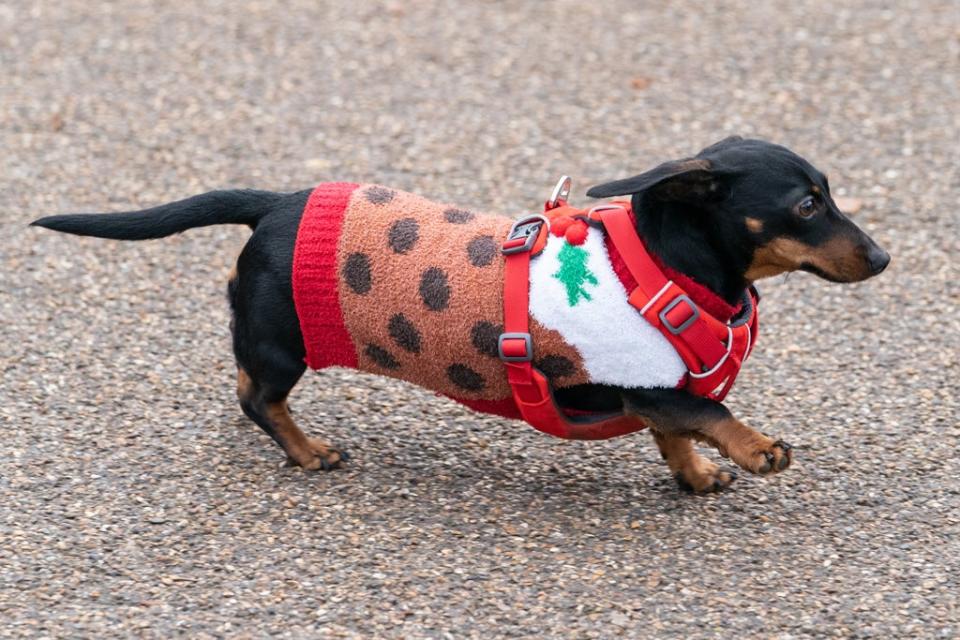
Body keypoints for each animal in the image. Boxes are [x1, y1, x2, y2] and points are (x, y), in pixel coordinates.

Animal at [30, 138, 888, 492]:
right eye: (807, 204)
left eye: (829, 193)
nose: (882, 257)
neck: (660, 266)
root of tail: (274, 204)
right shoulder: (635, 380)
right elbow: (707, 410)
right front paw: (756, 447)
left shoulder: (655, 392)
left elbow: (678, 432)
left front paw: (699, 476)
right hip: (281, 345)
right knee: (255, 397)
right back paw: (307, 451)